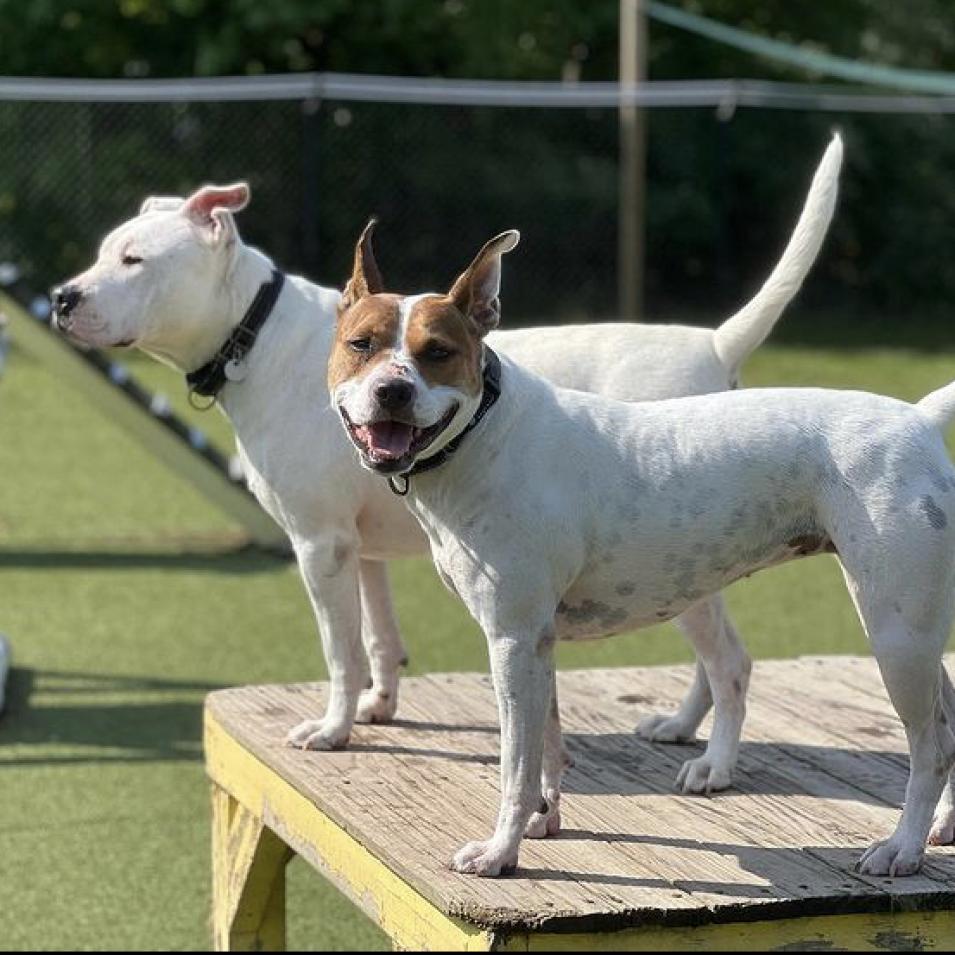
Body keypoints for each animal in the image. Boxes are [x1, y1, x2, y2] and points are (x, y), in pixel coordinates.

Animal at [56, 140, 840, 768]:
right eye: (102, 251)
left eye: (133, 259)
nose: (63, 297)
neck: (258, 330)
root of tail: (715, 342)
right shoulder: (362, 551)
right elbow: (376, 640)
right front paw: (376, 706)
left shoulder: (319, 545)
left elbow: (338, 648)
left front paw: (334, 727)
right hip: (689, 562)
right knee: (716, 651)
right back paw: (681, 726)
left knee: (722, 652)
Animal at [326, 136, 955, 880]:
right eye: (361, 345)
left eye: (438, 352)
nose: (391, 391)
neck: (483, 432)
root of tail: (916, 417)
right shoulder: (535, 644)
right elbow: (547, 748)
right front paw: (542, 822)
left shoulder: (511, 639)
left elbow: (514, 762)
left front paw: (501, 850)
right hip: (913, 632)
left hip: (896, 632)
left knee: (928, 743)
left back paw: (902, 845)